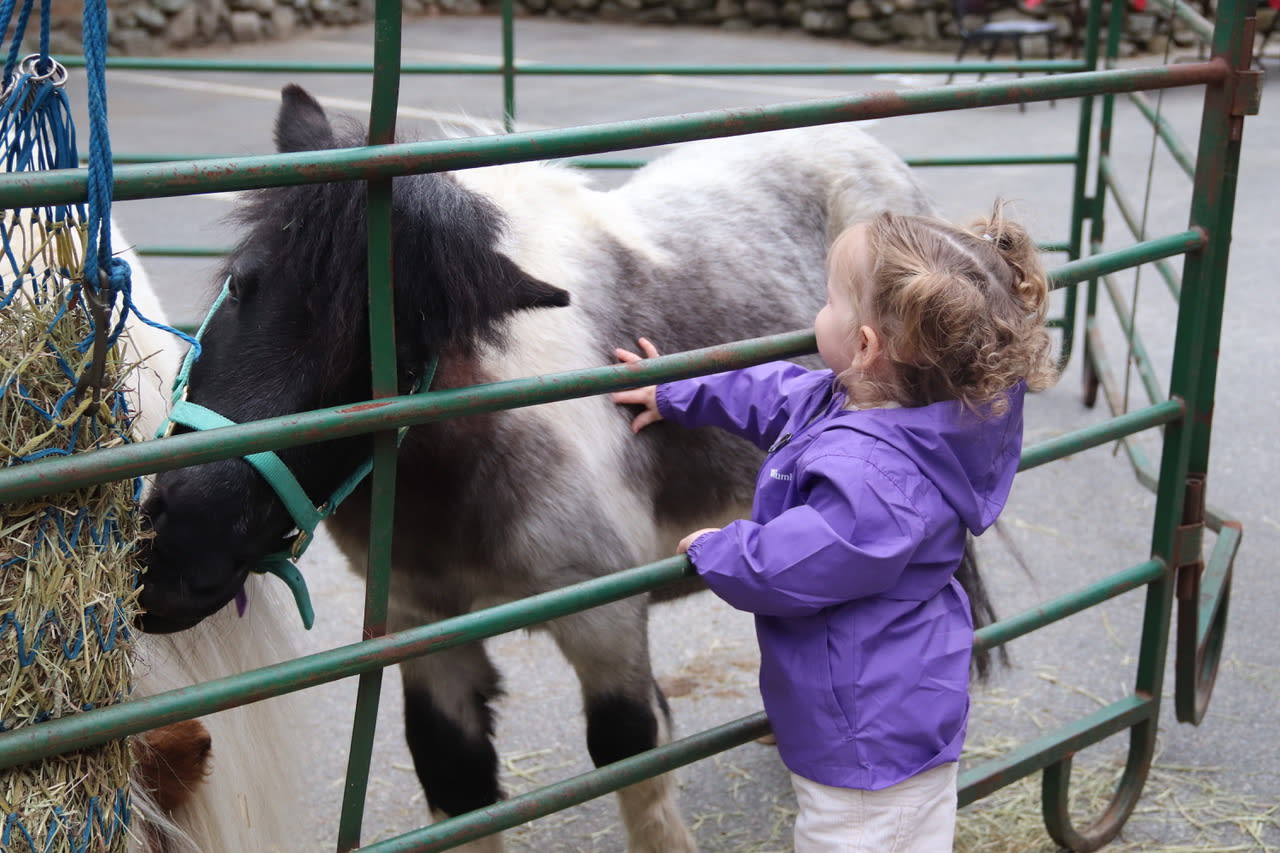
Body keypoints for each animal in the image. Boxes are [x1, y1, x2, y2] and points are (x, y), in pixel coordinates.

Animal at [132, 86, 988, 850]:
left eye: (399, 363)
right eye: (242, 284)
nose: (177, 553)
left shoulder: (603, 618)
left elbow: (631, 759)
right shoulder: (422, 628)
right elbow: (456, 774)